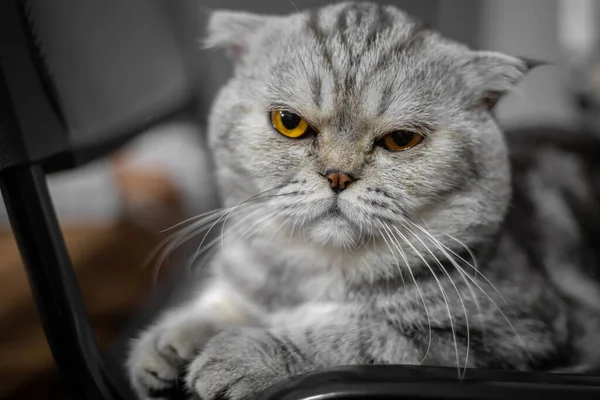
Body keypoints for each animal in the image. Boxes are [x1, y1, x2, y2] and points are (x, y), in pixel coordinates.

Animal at [125, 1, 600, 398]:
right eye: (289, 122)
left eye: (401, 139)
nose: (338, 175)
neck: (321, 272)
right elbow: (225, 305)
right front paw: (171, 340)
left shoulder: (502, 339)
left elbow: (352, 336)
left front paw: (241, 353)